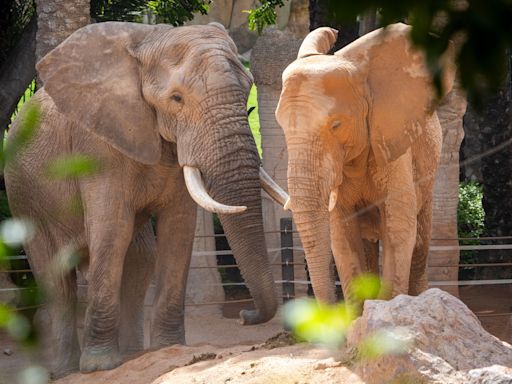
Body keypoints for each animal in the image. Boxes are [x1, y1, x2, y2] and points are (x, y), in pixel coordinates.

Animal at [5, 21, 288, 378]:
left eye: (247, 88)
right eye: (176, 98)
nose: (243, 316)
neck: (149, 40)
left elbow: (177, 229)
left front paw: (169, 349)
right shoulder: (97, 143)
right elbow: (111, 231)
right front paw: (98, 366)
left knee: (140, 257)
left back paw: (133, 355)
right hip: (24, 197)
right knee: (56, 276)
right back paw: (66, 371)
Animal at [278, 24, 454, 304]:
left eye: (336, 125)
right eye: (281, 125)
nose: (334, 31)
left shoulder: (392, 142)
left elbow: (398, 226)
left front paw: (388, 306)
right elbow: (342, 237)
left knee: (420, 242)